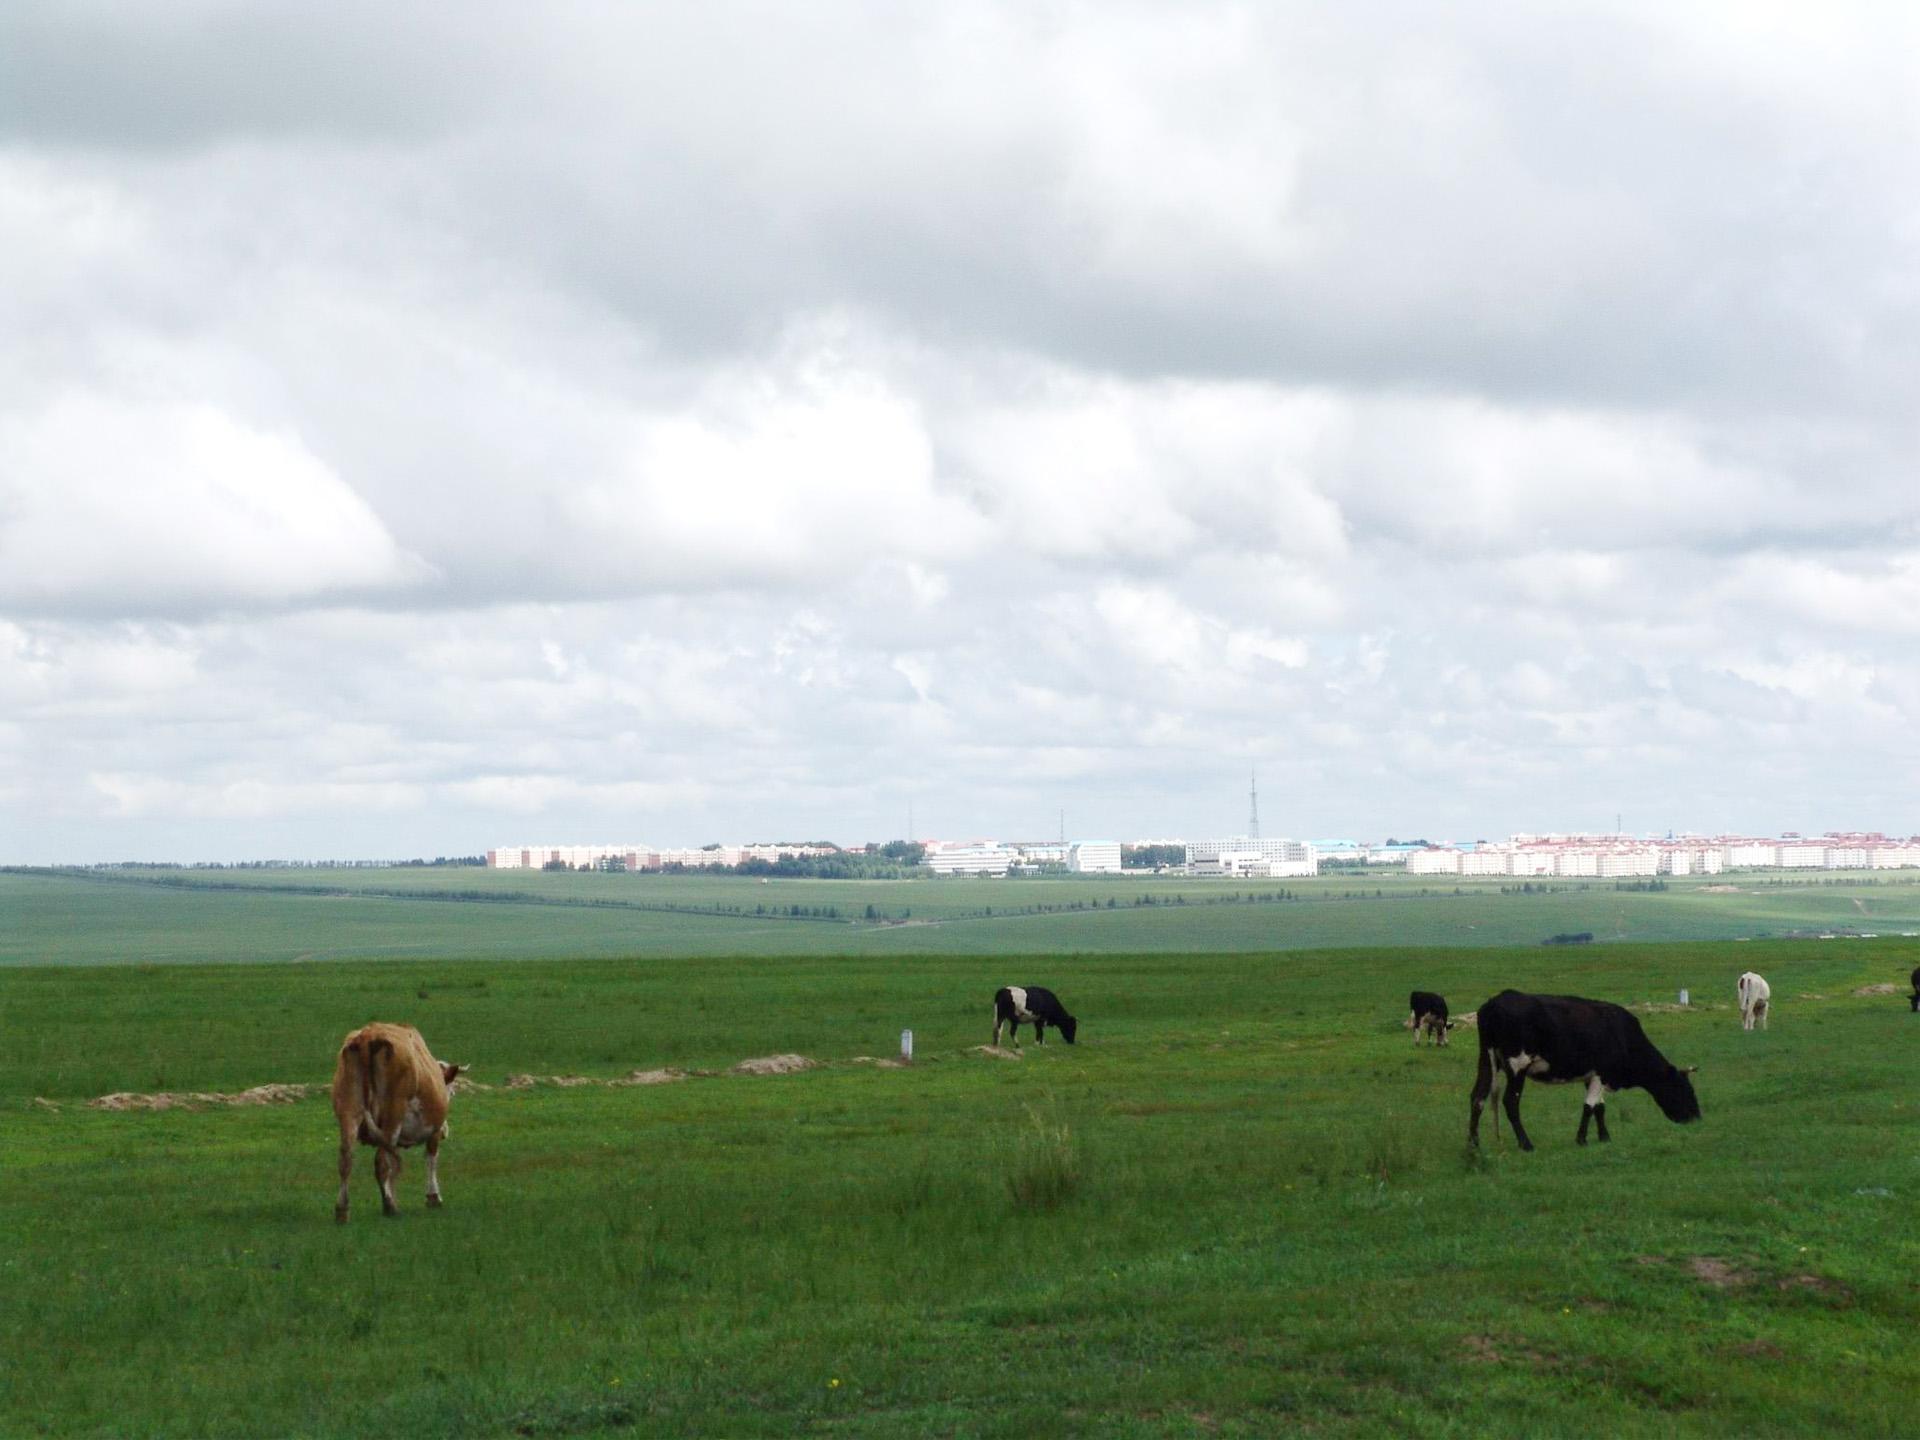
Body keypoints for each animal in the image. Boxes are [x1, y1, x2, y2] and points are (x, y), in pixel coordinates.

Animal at [332, 1021, 462, 1221]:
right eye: (452, 1092)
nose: (446, 1131)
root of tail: (368, 1036)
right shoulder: (433, 1130)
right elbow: (431, 1158)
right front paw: (433, 1197)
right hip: (392, 1113)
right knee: (381, 1162)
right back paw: (389, 1206)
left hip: (348, 1108)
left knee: (346, 1157)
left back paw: (342, 1210)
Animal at [1466, 990, 1697, 1152]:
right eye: (1684, 1089)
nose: (1696, 1117)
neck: (1623, 1036)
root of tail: (1493, 1003)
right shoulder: (1601, 1073)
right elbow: (1589, 1107)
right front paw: (1582, 1139)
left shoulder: (1592, 1075)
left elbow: (1599, 1108)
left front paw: (1604, 1137)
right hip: (1517, 1065)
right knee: (1510, 1102)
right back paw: (1526, 1144)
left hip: (1486, 1060)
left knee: (1477, 1097)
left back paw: (1474, 1144)